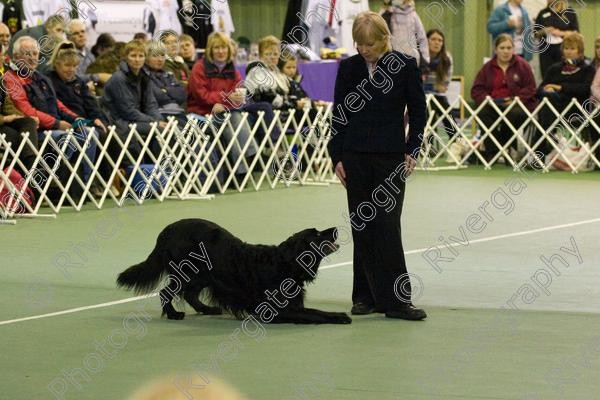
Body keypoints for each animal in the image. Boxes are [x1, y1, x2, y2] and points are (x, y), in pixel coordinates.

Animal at [117, 219, 352, 324]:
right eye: (317, 234)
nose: (335, 229)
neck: (284, 264)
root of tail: (167, 230)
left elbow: (316, 311)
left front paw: (338, 314)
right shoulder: (277, 310)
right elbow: (313, 315)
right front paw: (339, 317)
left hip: (203, 274)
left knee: (190, 294)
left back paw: (208, 309)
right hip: (186, 271)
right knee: (167, 292)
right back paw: (174, 314)